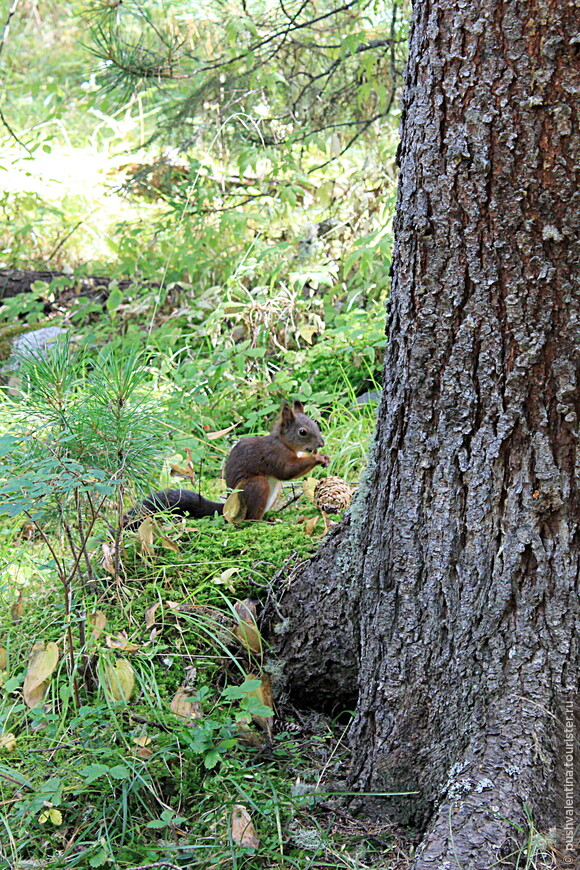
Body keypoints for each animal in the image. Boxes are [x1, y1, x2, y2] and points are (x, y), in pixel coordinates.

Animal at [123, 404, 328, 532]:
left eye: (316, 423)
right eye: (303, 432)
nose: (321, 443)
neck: (284, 443)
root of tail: (228, 509)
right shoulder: (273, 455)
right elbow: (286, 471)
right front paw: (318, 457)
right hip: (256, 487)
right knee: (249, 518)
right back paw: (262, 521)